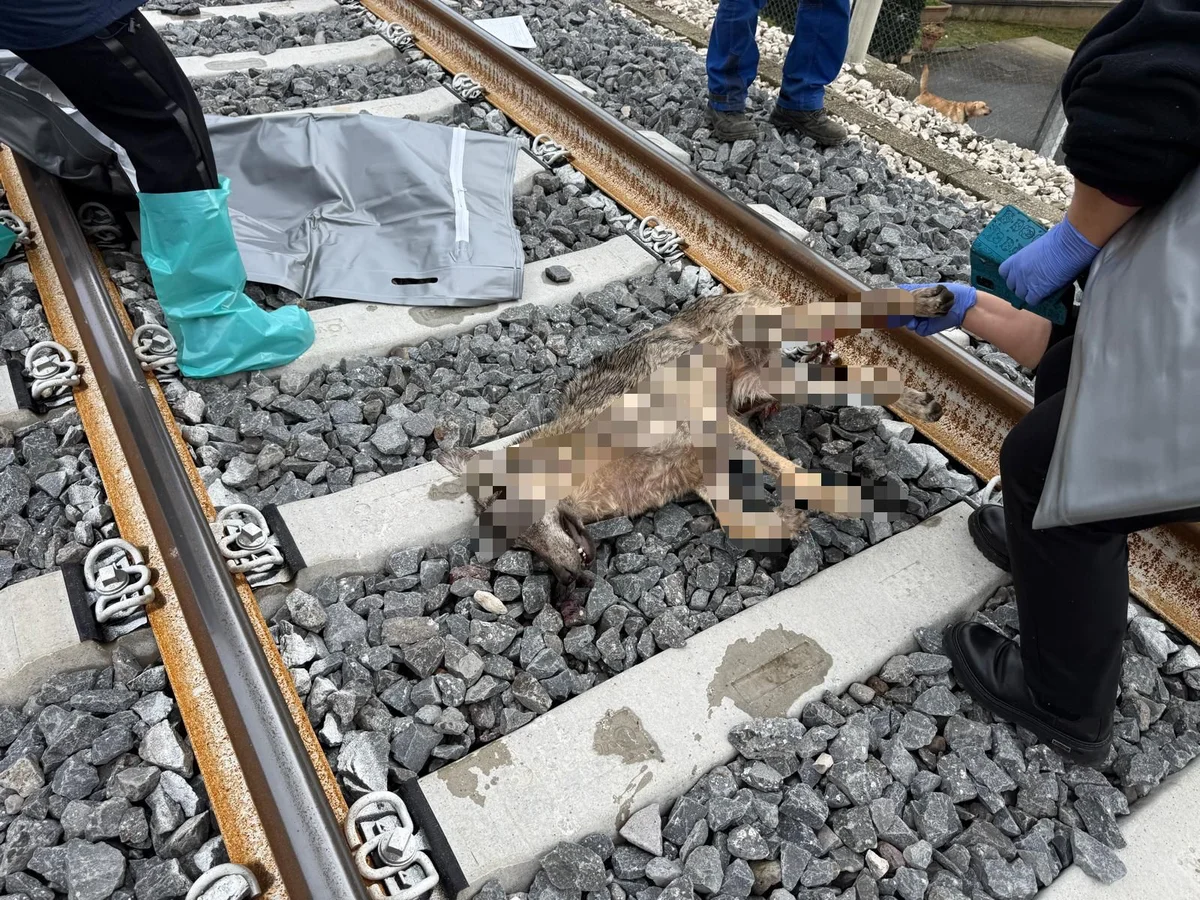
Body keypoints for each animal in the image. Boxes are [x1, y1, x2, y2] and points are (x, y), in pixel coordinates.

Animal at [437, 285, 953, 618]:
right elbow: (739, 522)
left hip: (777, 328)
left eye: (505, 501)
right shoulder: (706, 474)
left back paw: (926, 300)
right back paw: (920, 399)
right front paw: (787, 522)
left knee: (865, 302)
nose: (571, 583)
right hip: (780, 385)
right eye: (519, 548)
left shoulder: (706, 420)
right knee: (870, 379)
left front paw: (834, 499)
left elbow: (787, 470)